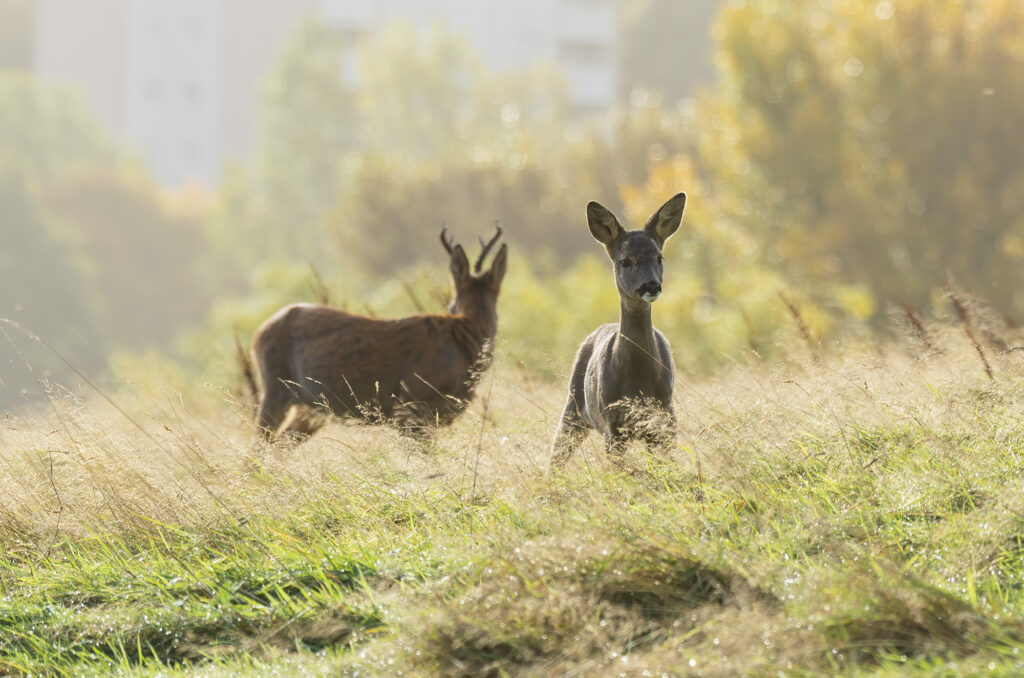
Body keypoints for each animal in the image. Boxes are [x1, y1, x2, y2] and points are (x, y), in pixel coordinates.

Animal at [251, 225, 507, 444]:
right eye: (452, 303)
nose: (451, 308)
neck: (463, 339)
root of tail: (260, 331)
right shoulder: (410, 406)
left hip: (309, 408)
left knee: (280, 444)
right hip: (275, 387)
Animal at [552, 193, 688, 464]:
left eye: (659, 257)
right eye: (625, 260)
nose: (651, 286)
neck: (638, 381)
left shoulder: (666, 417)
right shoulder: (612, 422)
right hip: (573, 404)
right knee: (556, 452)